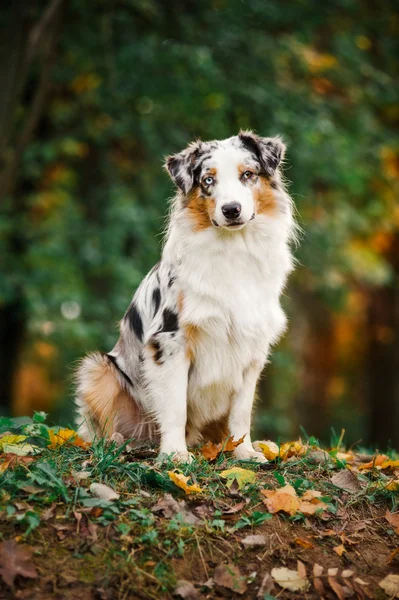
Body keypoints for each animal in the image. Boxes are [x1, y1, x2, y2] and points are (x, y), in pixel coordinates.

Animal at [76, 129, 298, 462]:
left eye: (248, 174)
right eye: (208, 180)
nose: (231, 209)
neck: (233, 247)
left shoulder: (252, 348)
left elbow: (241, 411)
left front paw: (244, 452)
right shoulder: (171, 341)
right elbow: (175, 406)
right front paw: (174, 455)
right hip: (98, 368)